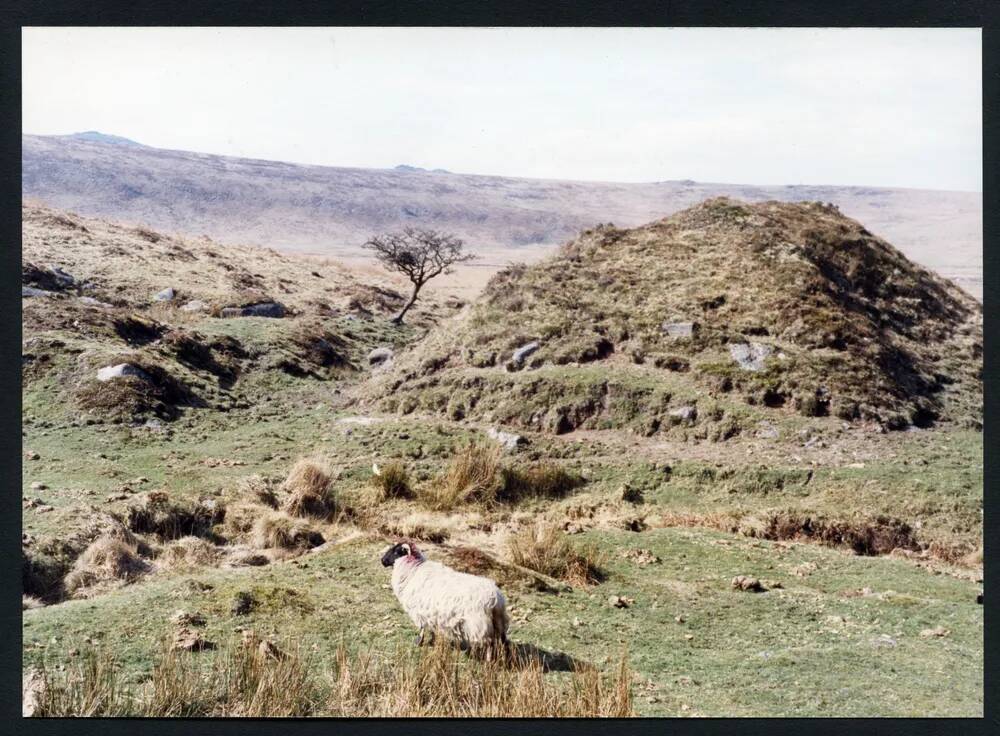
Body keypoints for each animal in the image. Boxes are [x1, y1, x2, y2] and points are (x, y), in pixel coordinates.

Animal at [380, 540, 512, 656]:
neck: (414, 570)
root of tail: (496, 599)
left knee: (489, 644)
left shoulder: (418, 611)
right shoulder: (430, 613)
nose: (382, 560)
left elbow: (422, 629)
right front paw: (431, 640)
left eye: (396, 551)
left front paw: (419, 642)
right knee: (500, 642)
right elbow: (431, 628)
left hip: (479, 625)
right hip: (497, 623)